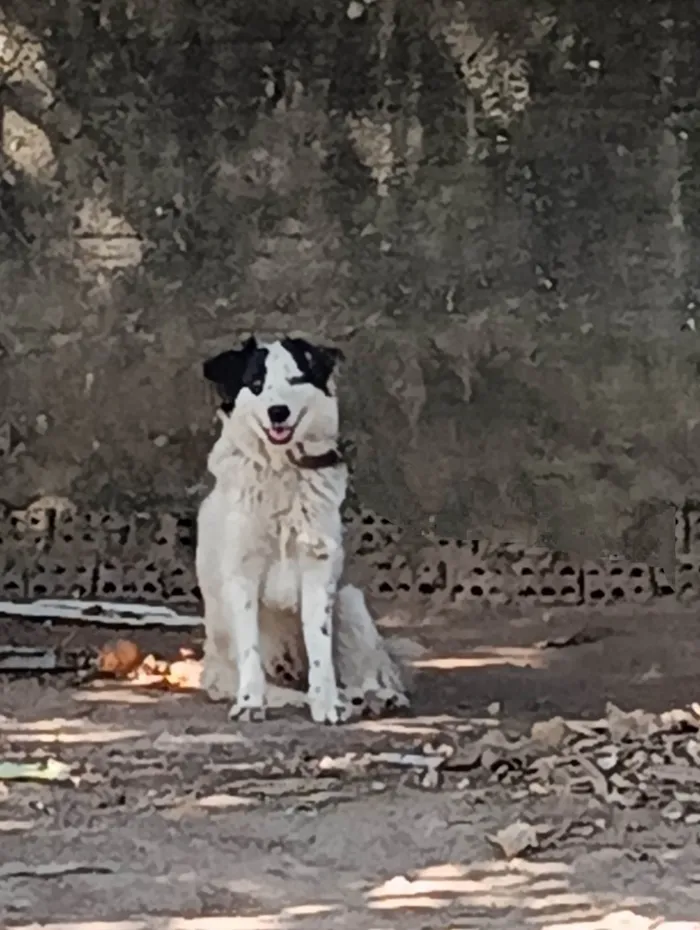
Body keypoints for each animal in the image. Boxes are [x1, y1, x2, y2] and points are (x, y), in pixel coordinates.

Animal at [194, 338, 410, 720]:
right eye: (256, 384)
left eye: (295, 380)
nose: (278, 412)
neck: (281, 471)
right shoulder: (241, 573)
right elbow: (250, 652)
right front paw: (250, 702)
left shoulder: (318, 567)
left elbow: (319, 646)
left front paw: (327, 704)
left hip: (349, 601)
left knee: (366, 671)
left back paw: (370, 696)